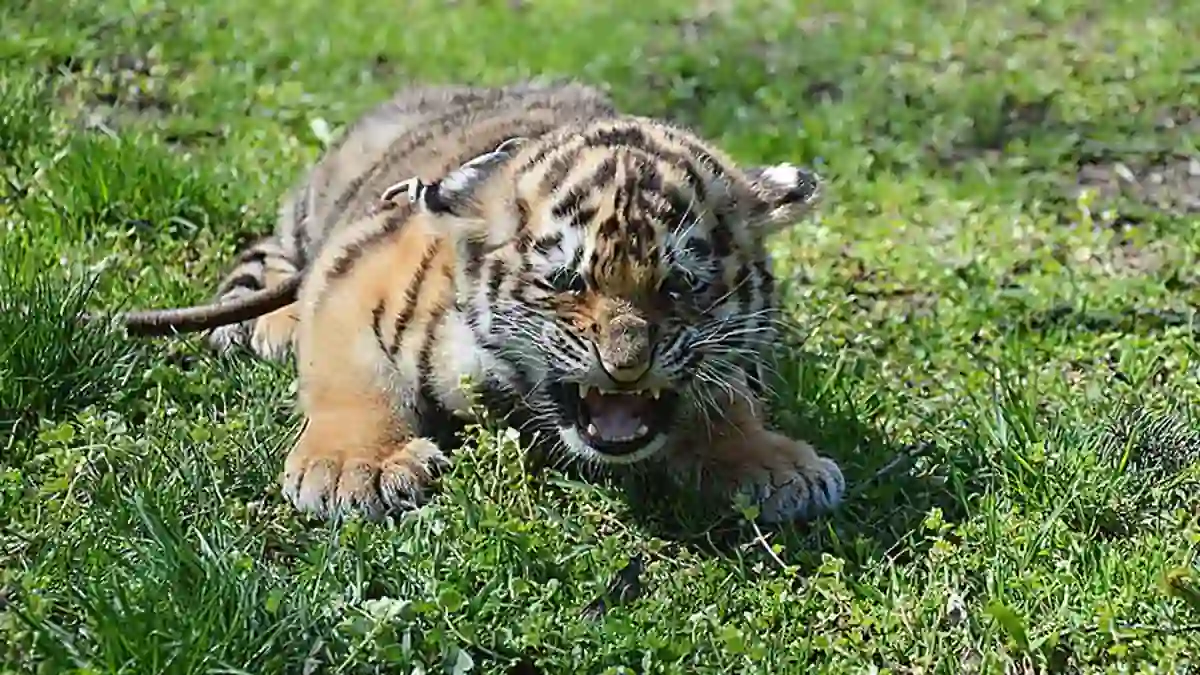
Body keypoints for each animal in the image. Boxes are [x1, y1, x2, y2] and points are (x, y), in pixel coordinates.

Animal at [203, 79, 845, 525]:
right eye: (566, 280)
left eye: (680, 284)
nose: (627, 365)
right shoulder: (357, 266)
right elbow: (352, 372)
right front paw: (354, 468)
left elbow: (727, 393)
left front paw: (770, 461)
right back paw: (276, 322)